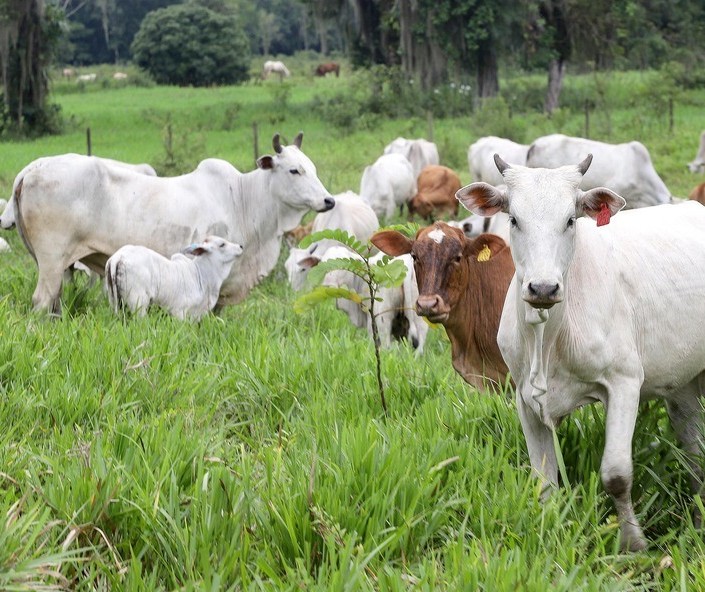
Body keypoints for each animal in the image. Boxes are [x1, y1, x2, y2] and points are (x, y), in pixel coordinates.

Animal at [106, 235, 243, 322]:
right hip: (138, 301)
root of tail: (117, 257)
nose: (241, 246)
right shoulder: (179, 311)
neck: (201, 274)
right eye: (222, 244)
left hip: (114, 300)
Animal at [456, 151, 705, 552]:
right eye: (514, 219)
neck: (549, 338)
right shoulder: (524, 397)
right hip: (682, 384)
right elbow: (544, 481)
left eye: (570, 220)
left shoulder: (624, 383)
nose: (543, 287)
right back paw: (697, 517)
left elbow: (616, 475)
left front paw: (634, 544)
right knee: (693, 450)